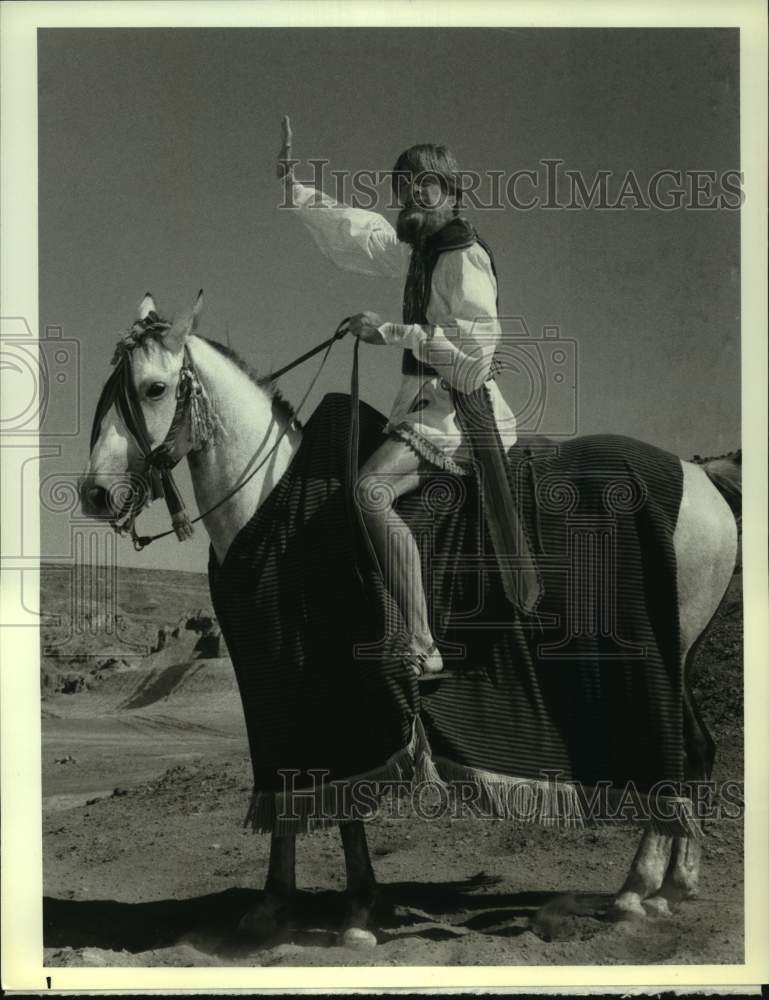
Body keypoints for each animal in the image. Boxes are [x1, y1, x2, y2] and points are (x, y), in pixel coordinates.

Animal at [82, 292, 736, 948]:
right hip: (679, 656)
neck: (272, 509)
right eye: (109, 391)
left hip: (651, 662)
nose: (95, 495)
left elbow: (342, 789)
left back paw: (634, 891)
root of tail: (702, 477)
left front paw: (358, 912)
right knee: (697, 749)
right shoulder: (274, 685)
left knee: (670, 754)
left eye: (154, 388)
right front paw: (275, 904)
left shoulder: (340, 687)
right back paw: (671, 887)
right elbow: (292, 778)